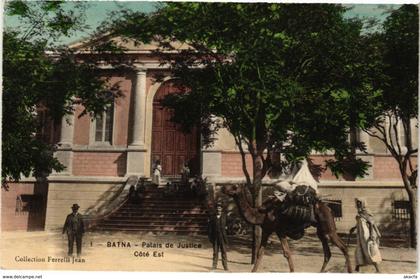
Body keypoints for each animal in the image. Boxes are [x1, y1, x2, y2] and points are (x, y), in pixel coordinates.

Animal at [221, 185, 352, 274]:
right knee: (327, 253)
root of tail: (329, 208)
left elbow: (287, 253)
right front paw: (253, 271)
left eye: (234, 187)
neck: (261, 214)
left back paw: (350, 271)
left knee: (344, 247)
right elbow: (260, 253)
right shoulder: (266, 230)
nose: (223, 188)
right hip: (321, 230)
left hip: (329, 228)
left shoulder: (280, 230)